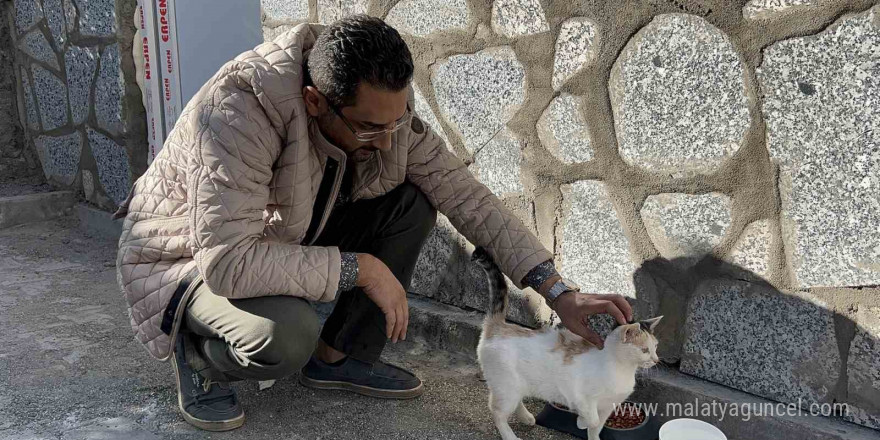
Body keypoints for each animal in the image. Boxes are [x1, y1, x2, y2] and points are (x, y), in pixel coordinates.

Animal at [474, 248, 660, 440]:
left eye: (655, 347)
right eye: (644, 350)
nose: (656, 360)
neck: (621, 368)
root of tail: (499, 325)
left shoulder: (608, 407)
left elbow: (597, 427)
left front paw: (591, 433)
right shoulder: (581, 397)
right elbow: (592, 419)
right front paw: (582, 421)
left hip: (515, 387)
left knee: (514, 402)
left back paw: (526, 417)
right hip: (506, 386)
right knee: (497, 412)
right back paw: (510, 435)